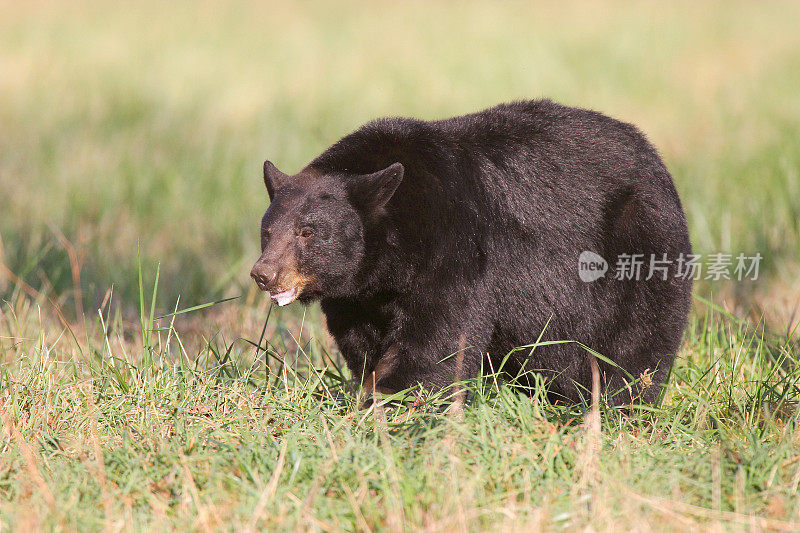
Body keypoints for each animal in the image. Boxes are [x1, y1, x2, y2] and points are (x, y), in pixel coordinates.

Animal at [252, 100, 692, 404]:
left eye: (308, 232)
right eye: (267, 232)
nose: (264, 273)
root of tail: (656, 159)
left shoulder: (457, 249)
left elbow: (437, 338)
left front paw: (390, 399)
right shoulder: (358, 295)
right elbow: (363, 341)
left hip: (638, 239)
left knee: (637, 338)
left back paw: (619, 402)